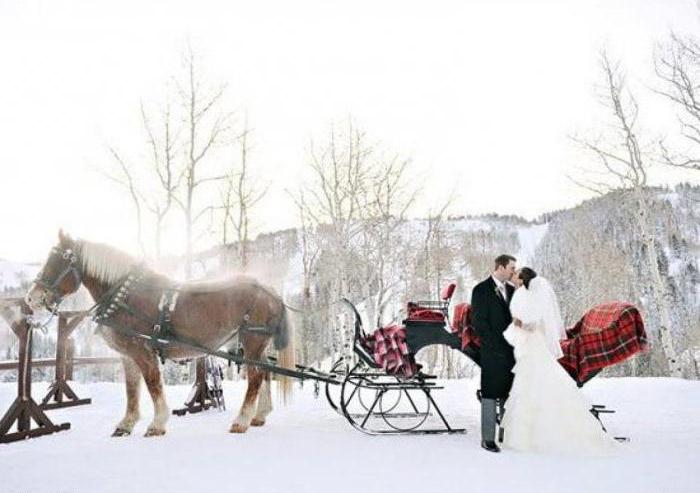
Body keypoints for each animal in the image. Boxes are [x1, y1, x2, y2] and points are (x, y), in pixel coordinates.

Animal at [26, 230, 296, 434]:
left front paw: (157, 424)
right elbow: (132, 389)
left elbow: (153, 383)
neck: (125, 296)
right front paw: (126, 424)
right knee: (264, 373)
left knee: (255, 377)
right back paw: (259, 416)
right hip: (257, 344)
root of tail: (270, 291)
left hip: (252, 340)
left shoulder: (143, 351)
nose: (31, 298)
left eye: (59, 261)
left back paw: (241, 421)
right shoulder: (128, 355)